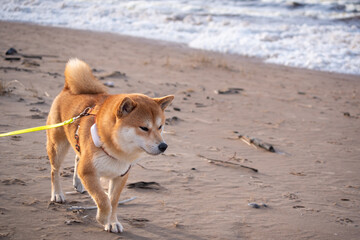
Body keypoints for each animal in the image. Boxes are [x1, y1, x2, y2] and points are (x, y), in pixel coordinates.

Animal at [46, 59, 174, 233]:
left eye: (160, 127)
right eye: (144, 128)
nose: (163, 146)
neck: (117, 151)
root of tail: (67, 89)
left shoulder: (120, 176)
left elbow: (113, 202)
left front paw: (112, 222)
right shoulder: (88, 172)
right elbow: (103, 200)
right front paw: (102, 218)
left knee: (77, 157)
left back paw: (77, 183)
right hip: (57, 145)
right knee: (55, 170)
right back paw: (57, 194)